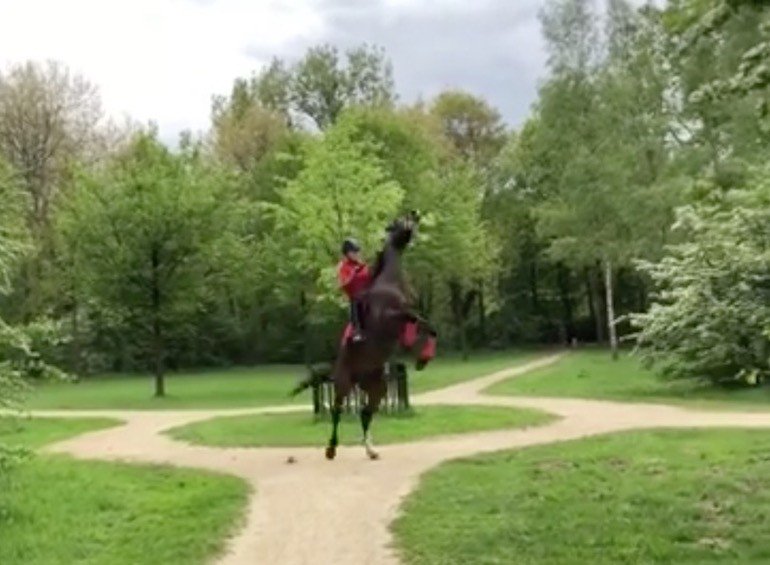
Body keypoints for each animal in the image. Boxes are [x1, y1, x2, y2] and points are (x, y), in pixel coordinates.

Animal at [290, 211, 437, 460]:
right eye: (398, 224)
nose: (415, 217)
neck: (389, 281)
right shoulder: (390, 317)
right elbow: (416, 321)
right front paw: (417, 351)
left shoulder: (408, 313)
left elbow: (426, 325)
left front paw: (422, 354)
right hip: (343, 385)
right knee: (337, 412)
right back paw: (331, 449)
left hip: (377, 388)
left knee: (365, 413)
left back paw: (370, 449)